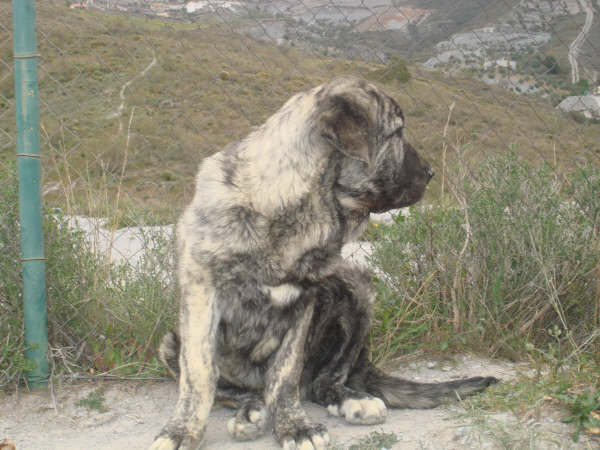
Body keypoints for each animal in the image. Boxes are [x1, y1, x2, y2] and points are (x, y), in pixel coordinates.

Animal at [150, 77, 496, 450]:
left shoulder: (303, 303)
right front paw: (182, 431)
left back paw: (351, 398)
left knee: (324, 380)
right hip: (170, 342)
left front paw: (294, 425)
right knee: (233, 390)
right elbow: (199, 374)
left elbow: (285, 374)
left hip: (358, 290)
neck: (286, 207)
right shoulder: (201, 293)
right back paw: (250, 409)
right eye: (397, 133)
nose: (431, 173)